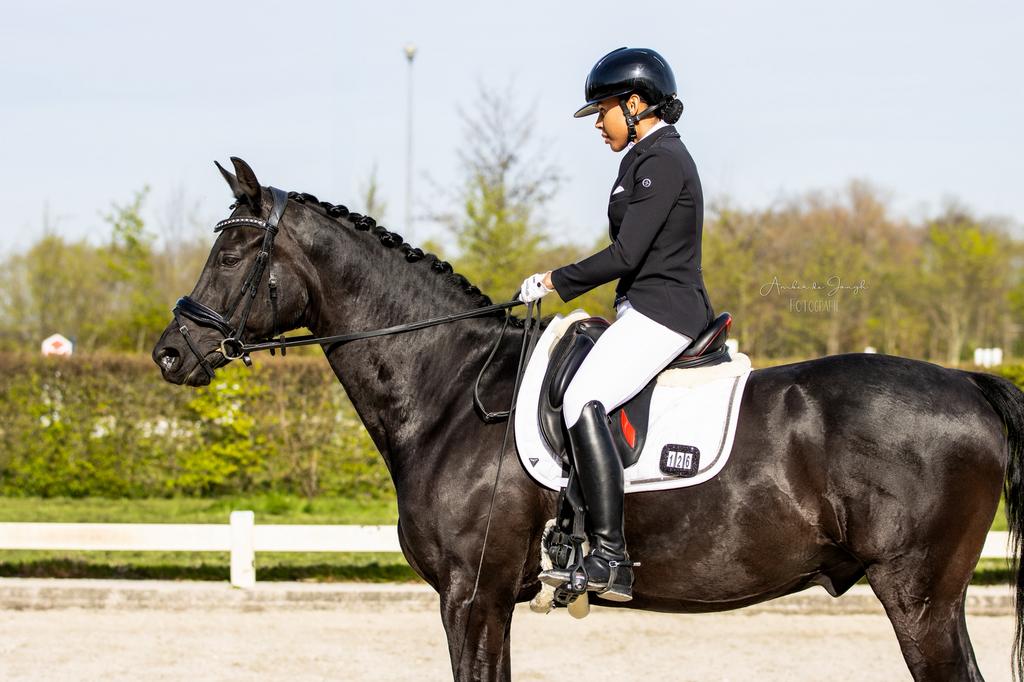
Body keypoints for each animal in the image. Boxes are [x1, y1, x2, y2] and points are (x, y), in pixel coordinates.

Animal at [153, 157, 1024, 681]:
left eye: (231, 254)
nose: (169, 352)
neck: (449, 389)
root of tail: (968, 383)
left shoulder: (471, 595)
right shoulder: (488, 602)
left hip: (916, 596)